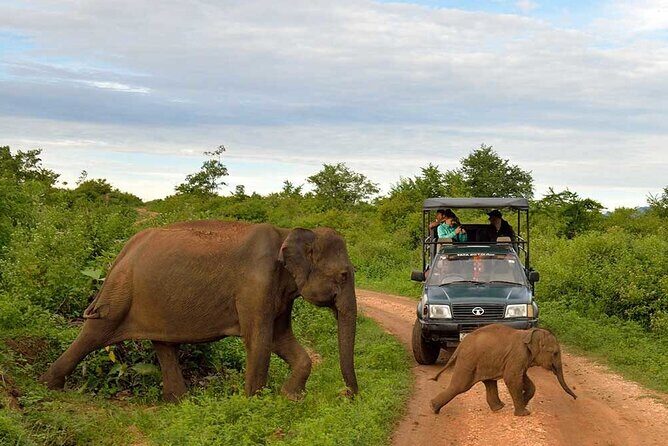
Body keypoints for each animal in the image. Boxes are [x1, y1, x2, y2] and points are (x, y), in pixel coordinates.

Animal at [39, 220, 359, 401]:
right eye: (344, 275)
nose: (347, 396)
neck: (288, 233)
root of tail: (125, 248)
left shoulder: (279, 292)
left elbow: (281, 339)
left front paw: (290, 398)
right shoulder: (256, 284)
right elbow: (259, 340)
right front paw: (255, 404)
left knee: (163, 344)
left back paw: (178, 402)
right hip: (120, 291)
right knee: (95, 332)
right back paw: (47, 387)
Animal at [430, 324, 576, 416]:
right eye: (555, 353)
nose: (575, 398)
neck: (529, 333)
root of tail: (460, 346)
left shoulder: (522, 359)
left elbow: (523, 378)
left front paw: (524, 401)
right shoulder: (518, 354)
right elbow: (512, 378)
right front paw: (524, 413)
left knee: (489, 382)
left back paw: (499, 407)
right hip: (468, 360)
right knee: (460, 386)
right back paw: (433, 408)